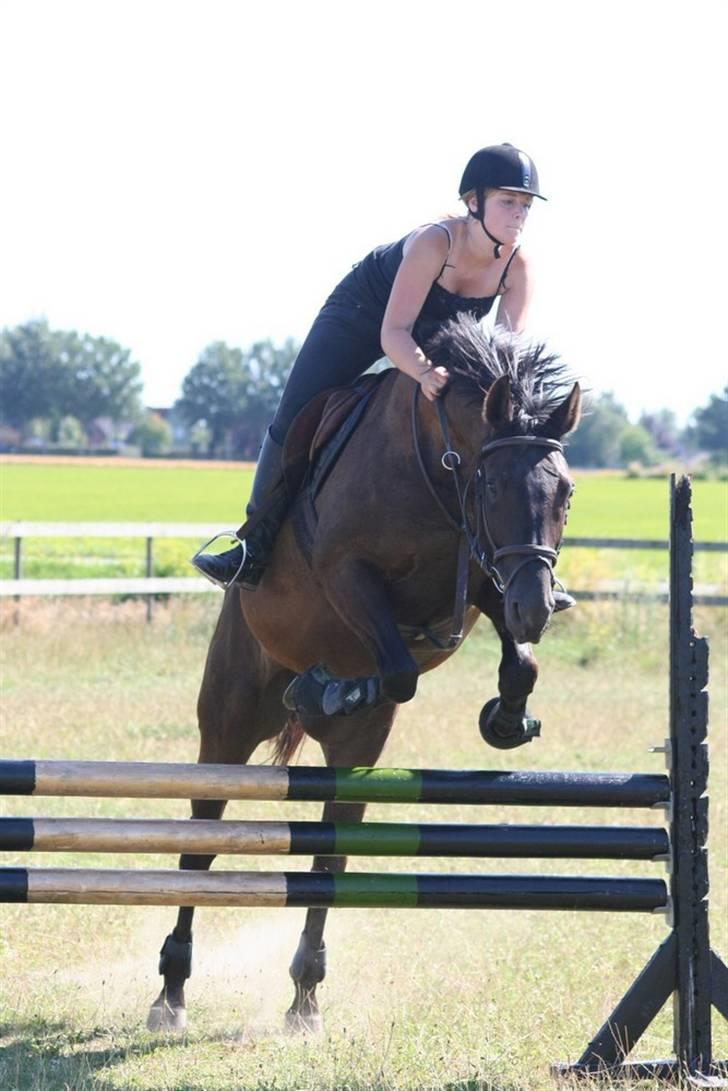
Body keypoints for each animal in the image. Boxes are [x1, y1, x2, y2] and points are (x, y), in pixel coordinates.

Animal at [146, 316, 580, 1029]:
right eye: (493, 487)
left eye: (566, 492)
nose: (536, 608)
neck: (437, 470)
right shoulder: (349, 575)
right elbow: (399, 668)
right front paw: (332, 687)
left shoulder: (483, 578)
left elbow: (521, 665)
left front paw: (506, 719)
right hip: (227, 727)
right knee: (203, 839)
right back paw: (172, 992)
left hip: (357, 756)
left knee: (330, 851)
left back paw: (304, 998)